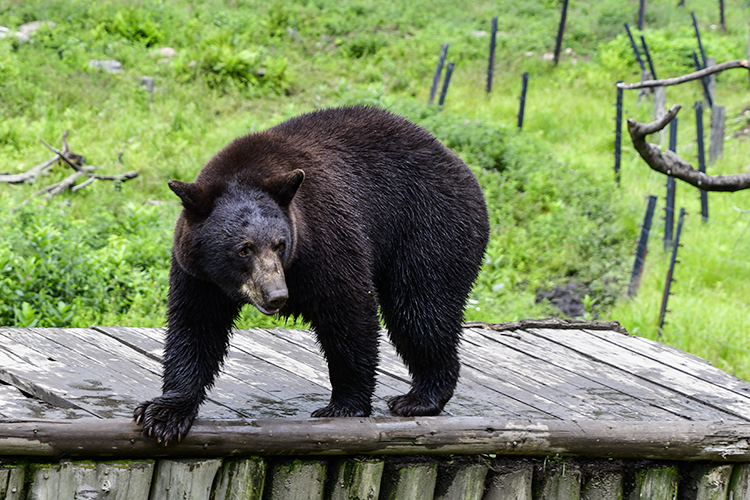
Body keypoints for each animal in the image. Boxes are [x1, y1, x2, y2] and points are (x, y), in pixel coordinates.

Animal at [134, 104, 494, 442]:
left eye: (280, 244)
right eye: (243, 249)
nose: (277, 296)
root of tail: (458, 162)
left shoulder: (324, 238)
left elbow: (349, 312)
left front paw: (344, 405)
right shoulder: (198, 272)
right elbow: (195, 327)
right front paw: (165, 414)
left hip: (430, 228)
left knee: (421, 311)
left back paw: (420, 397)